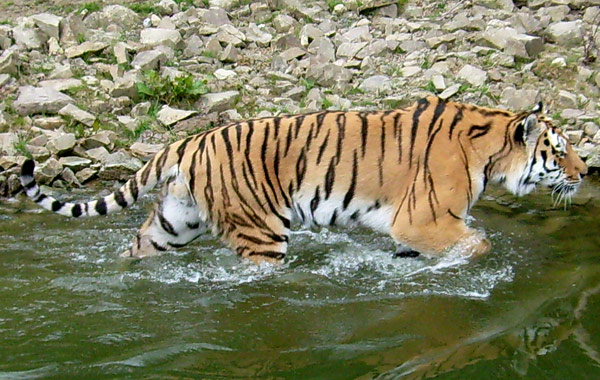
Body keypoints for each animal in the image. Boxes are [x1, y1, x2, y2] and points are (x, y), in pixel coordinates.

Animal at [17, 96, 584, 262]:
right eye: (560, 151)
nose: (585, 173)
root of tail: (189, 140)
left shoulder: (417, 229)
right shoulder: (423, 220)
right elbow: (479, 245)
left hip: (173, 223)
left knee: (137, 251)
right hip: (260, 229)